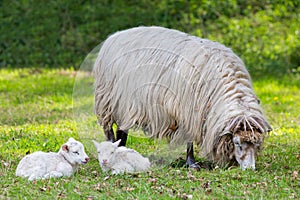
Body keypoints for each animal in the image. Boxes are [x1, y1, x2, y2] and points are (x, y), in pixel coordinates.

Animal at [93, 25, 272, 170]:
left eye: (256, 144)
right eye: (237, 143)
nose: (249, 169)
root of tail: (115, 36)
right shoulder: (188, 110)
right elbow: (189, 140)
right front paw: (191, 163)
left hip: (124, 104)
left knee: (122, 129)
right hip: (107, 101)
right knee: (109, 129)